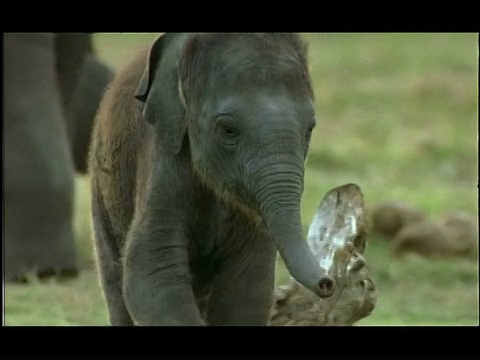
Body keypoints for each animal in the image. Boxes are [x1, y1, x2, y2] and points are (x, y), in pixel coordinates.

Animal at [92, 33, 336, 326]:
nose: (327, 283)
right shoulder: (162, 154)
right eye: (228, 130)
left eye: (310, 129)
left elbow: (247, 290)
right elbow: (153, 272)